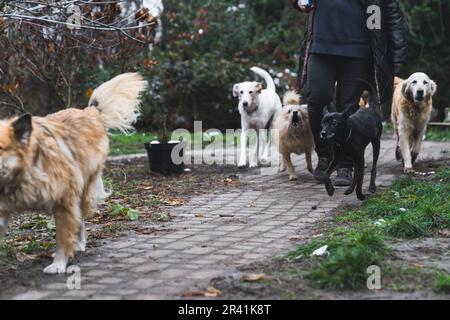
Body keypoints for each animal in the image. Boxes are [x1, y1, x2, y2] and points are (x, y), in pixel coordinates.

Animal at [0, 72, 148, 272]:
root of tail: (89, 111)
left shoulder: (64, 201)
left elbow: (63, 236)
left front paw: (59, 264)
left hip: (84, 189)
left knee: (80, 221)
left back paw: (79, 244)